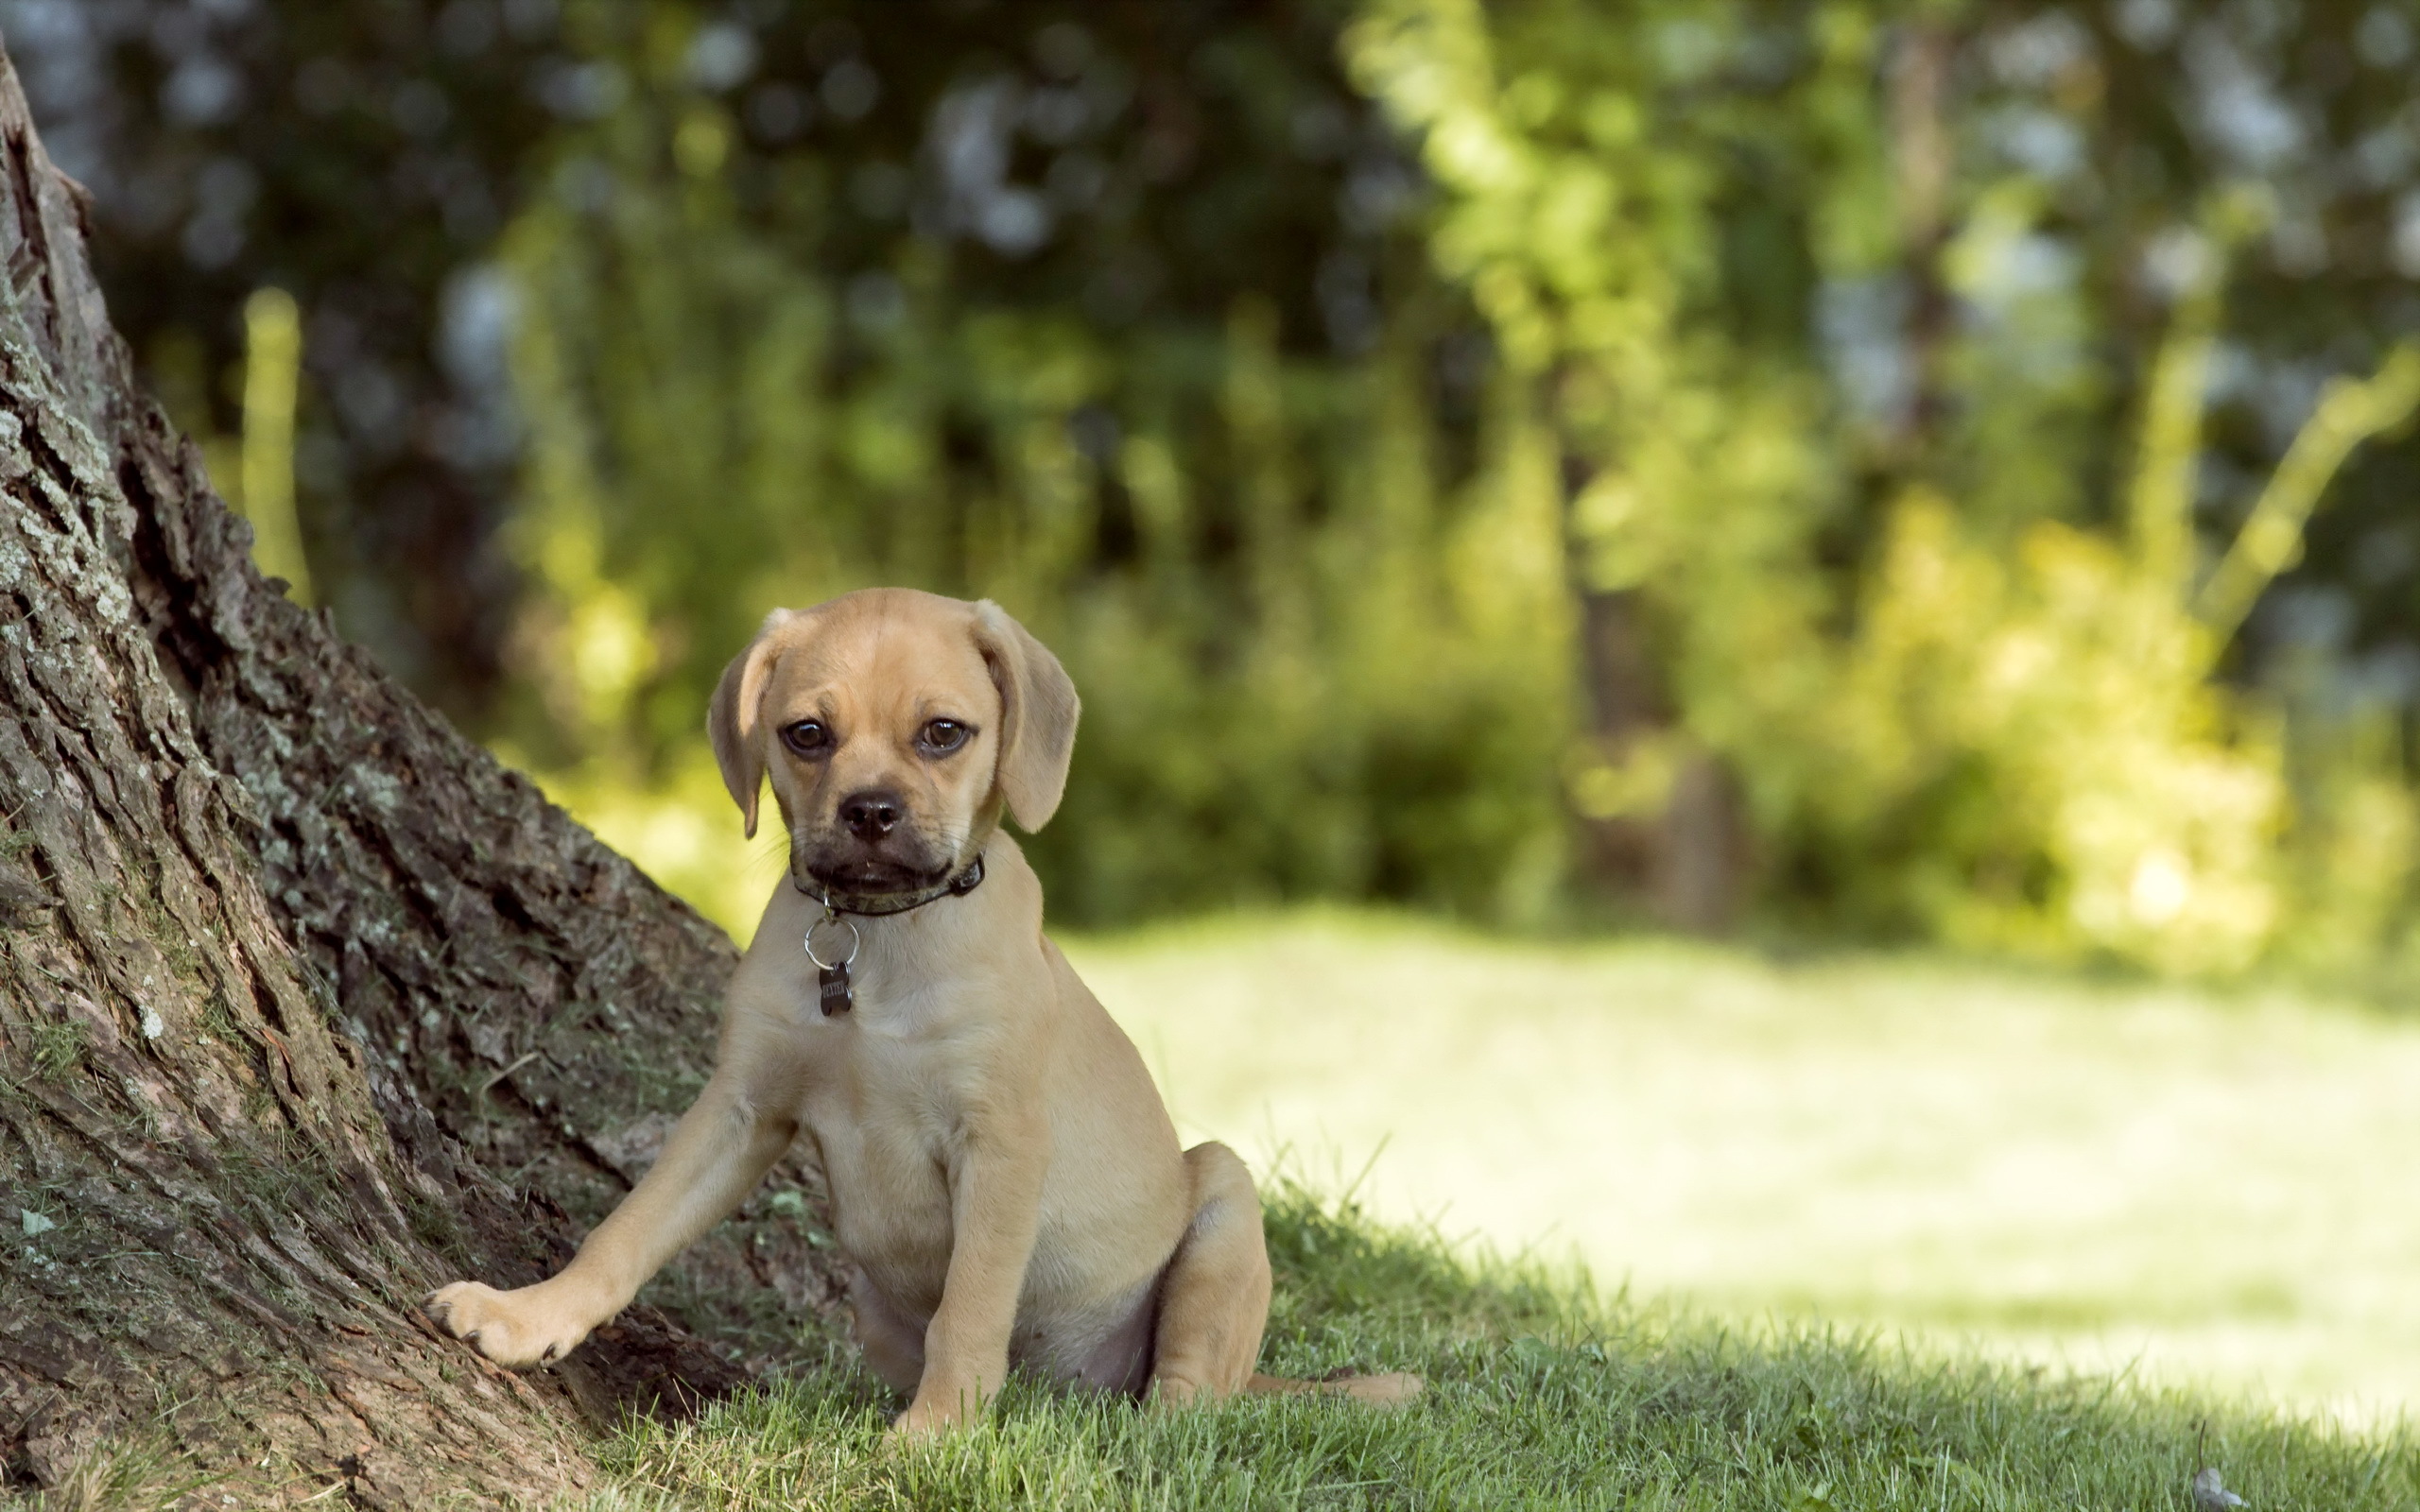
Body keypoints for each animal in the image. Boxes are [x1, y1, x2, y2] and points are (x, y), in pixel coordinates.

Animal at [425, 582, 1413, 1422]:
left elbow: (968, 1310)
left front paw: (936, 1433)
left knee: (1187, 1403)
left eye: (943, 732)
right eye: (807, 733)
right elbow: (627, 1230)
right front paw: (530, 1314)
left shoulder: (999, 1143)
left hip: (1224, 1201)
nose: (869, 812)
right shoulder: (739, 1110)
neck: (879, 946)